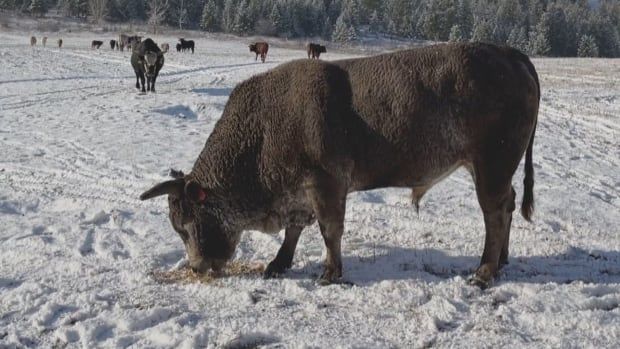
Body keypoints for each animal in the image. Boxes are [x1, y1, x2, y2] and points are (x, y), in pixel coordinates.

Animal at [139, 42, 536, 288]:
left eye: (186, 223)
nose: (196, 266)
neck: (263, 129)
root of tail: (509, 53)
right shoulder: (299, 193)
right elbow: (295, 230)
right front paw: (278, 263)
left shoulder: (326, 185)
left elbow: (329, 230)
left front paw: (330, 272)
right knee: (509, 204)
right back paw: (501, 261)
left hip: (491, 167)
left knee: (495, 214)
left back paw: (484, 272)